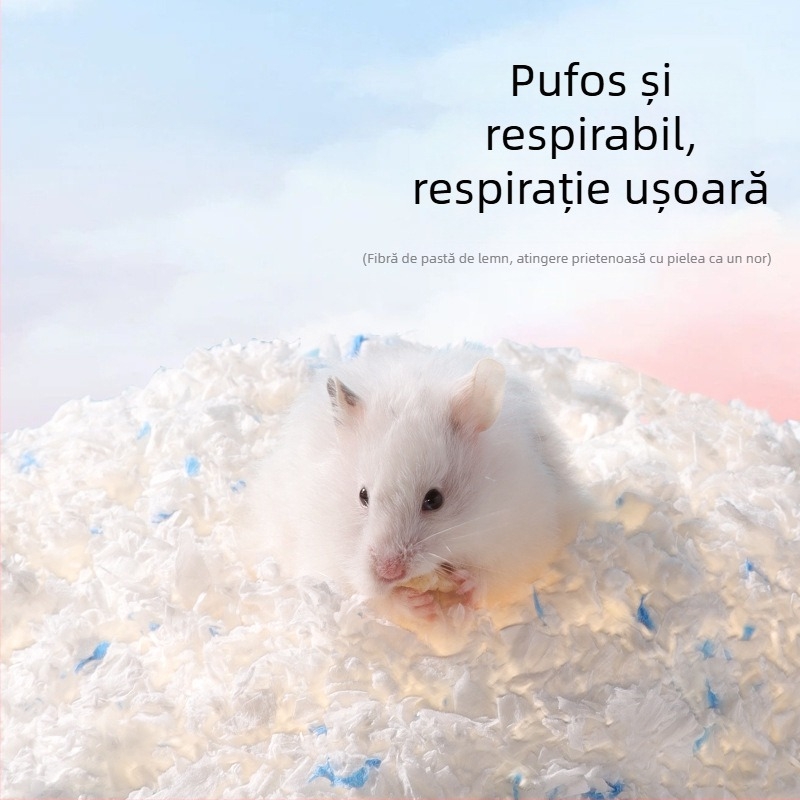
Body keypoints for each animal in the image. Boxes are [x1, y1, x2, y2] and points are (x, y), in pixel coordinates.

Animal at [242, 341, 585, 620]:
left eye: (434, 500)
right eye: (363, 495)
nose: (388, 571)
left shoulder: (525, 537)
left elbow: (497, 576)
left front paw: (465, 586)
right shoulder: (327, 555)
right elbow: (371, 595)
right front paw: (417, 604)